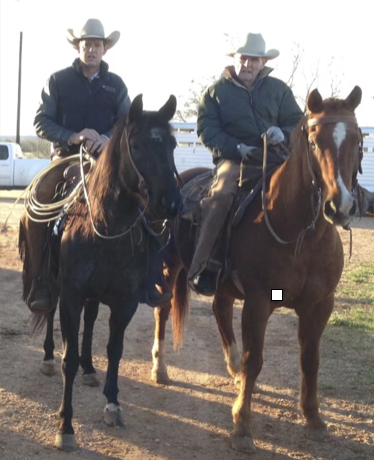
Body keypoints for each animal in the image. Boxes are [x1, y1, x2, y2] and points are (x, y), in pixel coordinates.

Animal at [19, 95, 183, 452]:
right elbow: (68, 357)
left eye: (173, 144)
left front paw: (112, 405)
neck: (107, 226)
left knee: (92, 321)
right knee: (49, 311)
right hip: (54, 287)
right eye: (136, 145)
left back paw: (90, 368)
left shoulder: (125, 302)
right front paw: (65, 425)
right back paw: (48, 357)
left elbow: (114, 350)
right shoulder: (71, 295)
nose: (171, 204)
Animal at [150, 86, 364, 452]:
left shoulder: (320, 305)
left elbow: (310, 359)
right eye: (314, 141)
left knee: (220, 310)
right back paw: (161, 369)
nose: (340, 206)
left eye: (357, 139)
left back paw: (232, 370)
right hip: (170, 267)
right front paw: (241, 425)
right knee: (163, 312)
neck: (298, 234)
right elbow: (255, 359)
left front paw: (314, 420)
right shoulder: (258, 301)